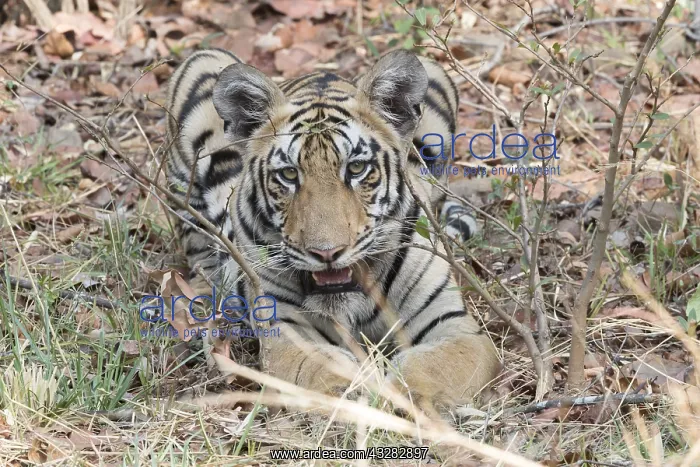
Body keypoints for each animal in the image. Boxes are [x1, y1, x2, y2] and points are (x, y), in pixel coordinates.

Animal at [165, 47, 500, 414]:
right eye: (289, 174)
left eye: (356, 168)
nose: (326, 253)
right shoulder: (286, 332)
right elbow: (326, 372)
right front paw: (358, 397)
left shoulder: (456, 327)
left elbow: (423, 370)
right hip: (201, 63)